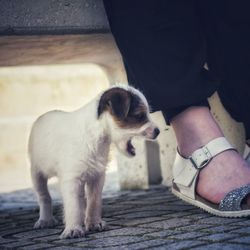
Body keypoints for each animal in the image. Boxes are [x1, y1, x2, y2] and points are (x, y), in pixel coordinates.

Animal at [28, 85, 159, 239]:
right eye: (139, 116)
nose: (158, 131)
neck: (95, 136)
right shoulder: (71, 180)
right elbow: (73, 206)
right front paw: (73, 228)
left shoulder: (97, 176)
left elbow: (93, 201)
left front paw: (94, 223)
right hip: (37, 173)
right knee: (44, 197)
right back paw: (45, 219)